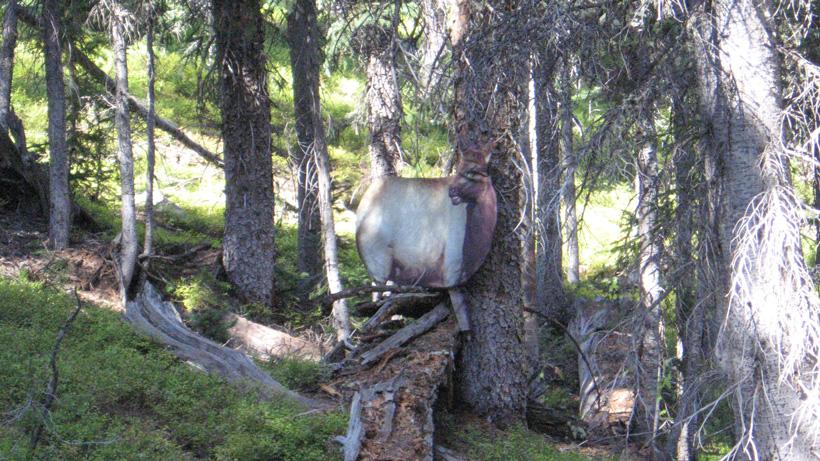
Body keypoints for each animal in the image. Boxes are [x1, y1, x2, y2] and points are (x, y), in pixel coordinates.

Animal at [355, 140, 497, 331]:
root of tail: (361, 206)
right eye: (458, 168)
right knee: (377, 297)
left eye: (473, 171)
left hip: (392, 267)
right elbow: (464, 320)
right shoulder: (452, 268)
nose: (452, 192)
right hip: (378, 261)